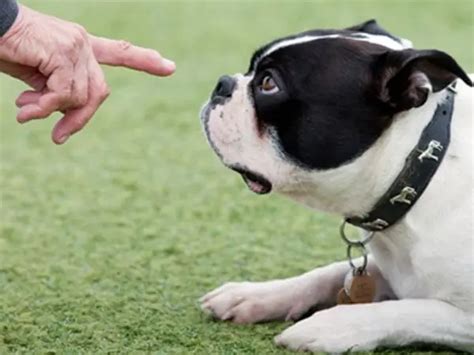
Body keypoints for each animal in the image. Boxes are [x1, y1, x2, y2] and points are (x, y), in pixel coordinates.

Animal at [198, 20, 472, 354]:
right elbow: (329, 272)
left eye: (268, 84)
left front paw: (329, 327)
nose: (222, 84)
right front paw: (254, 295)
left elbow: (411, 310)